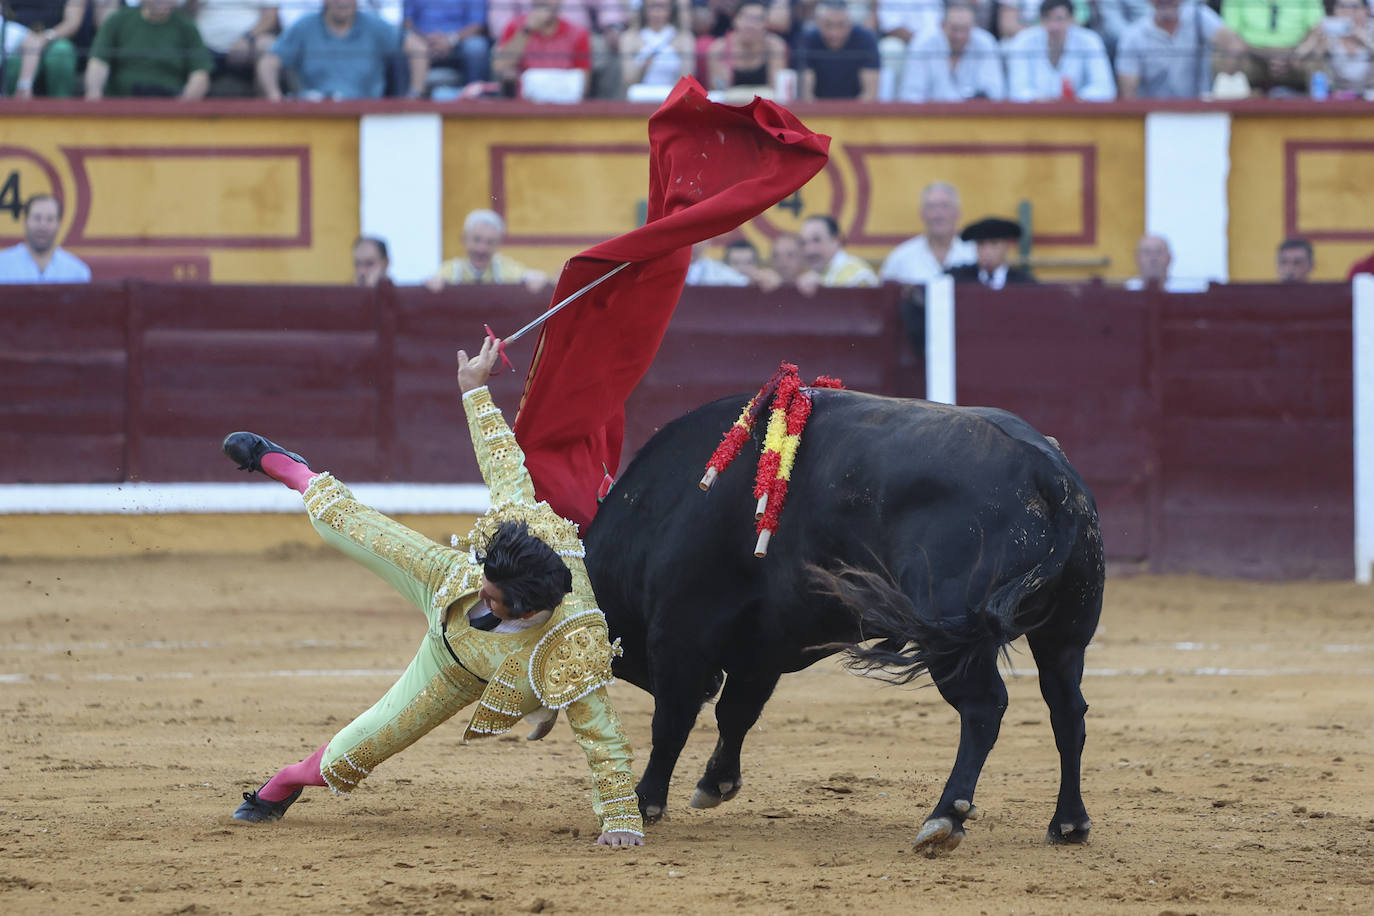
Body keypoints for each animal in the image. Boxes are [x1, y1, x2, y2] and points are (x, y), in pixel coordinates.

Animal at [579, 387, 1104, 851]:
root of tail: (1051, 475)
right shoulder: (761, 646)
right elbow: (736, 713)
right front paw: (716, 782)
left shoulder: (682, 631)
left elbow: (673, 720)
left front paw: (645, 802)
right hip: (1064, 636)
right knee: (1067, 711)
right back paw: (1069, 823)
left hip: (955, 641)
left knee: (984, 709)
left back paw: (944, 818)